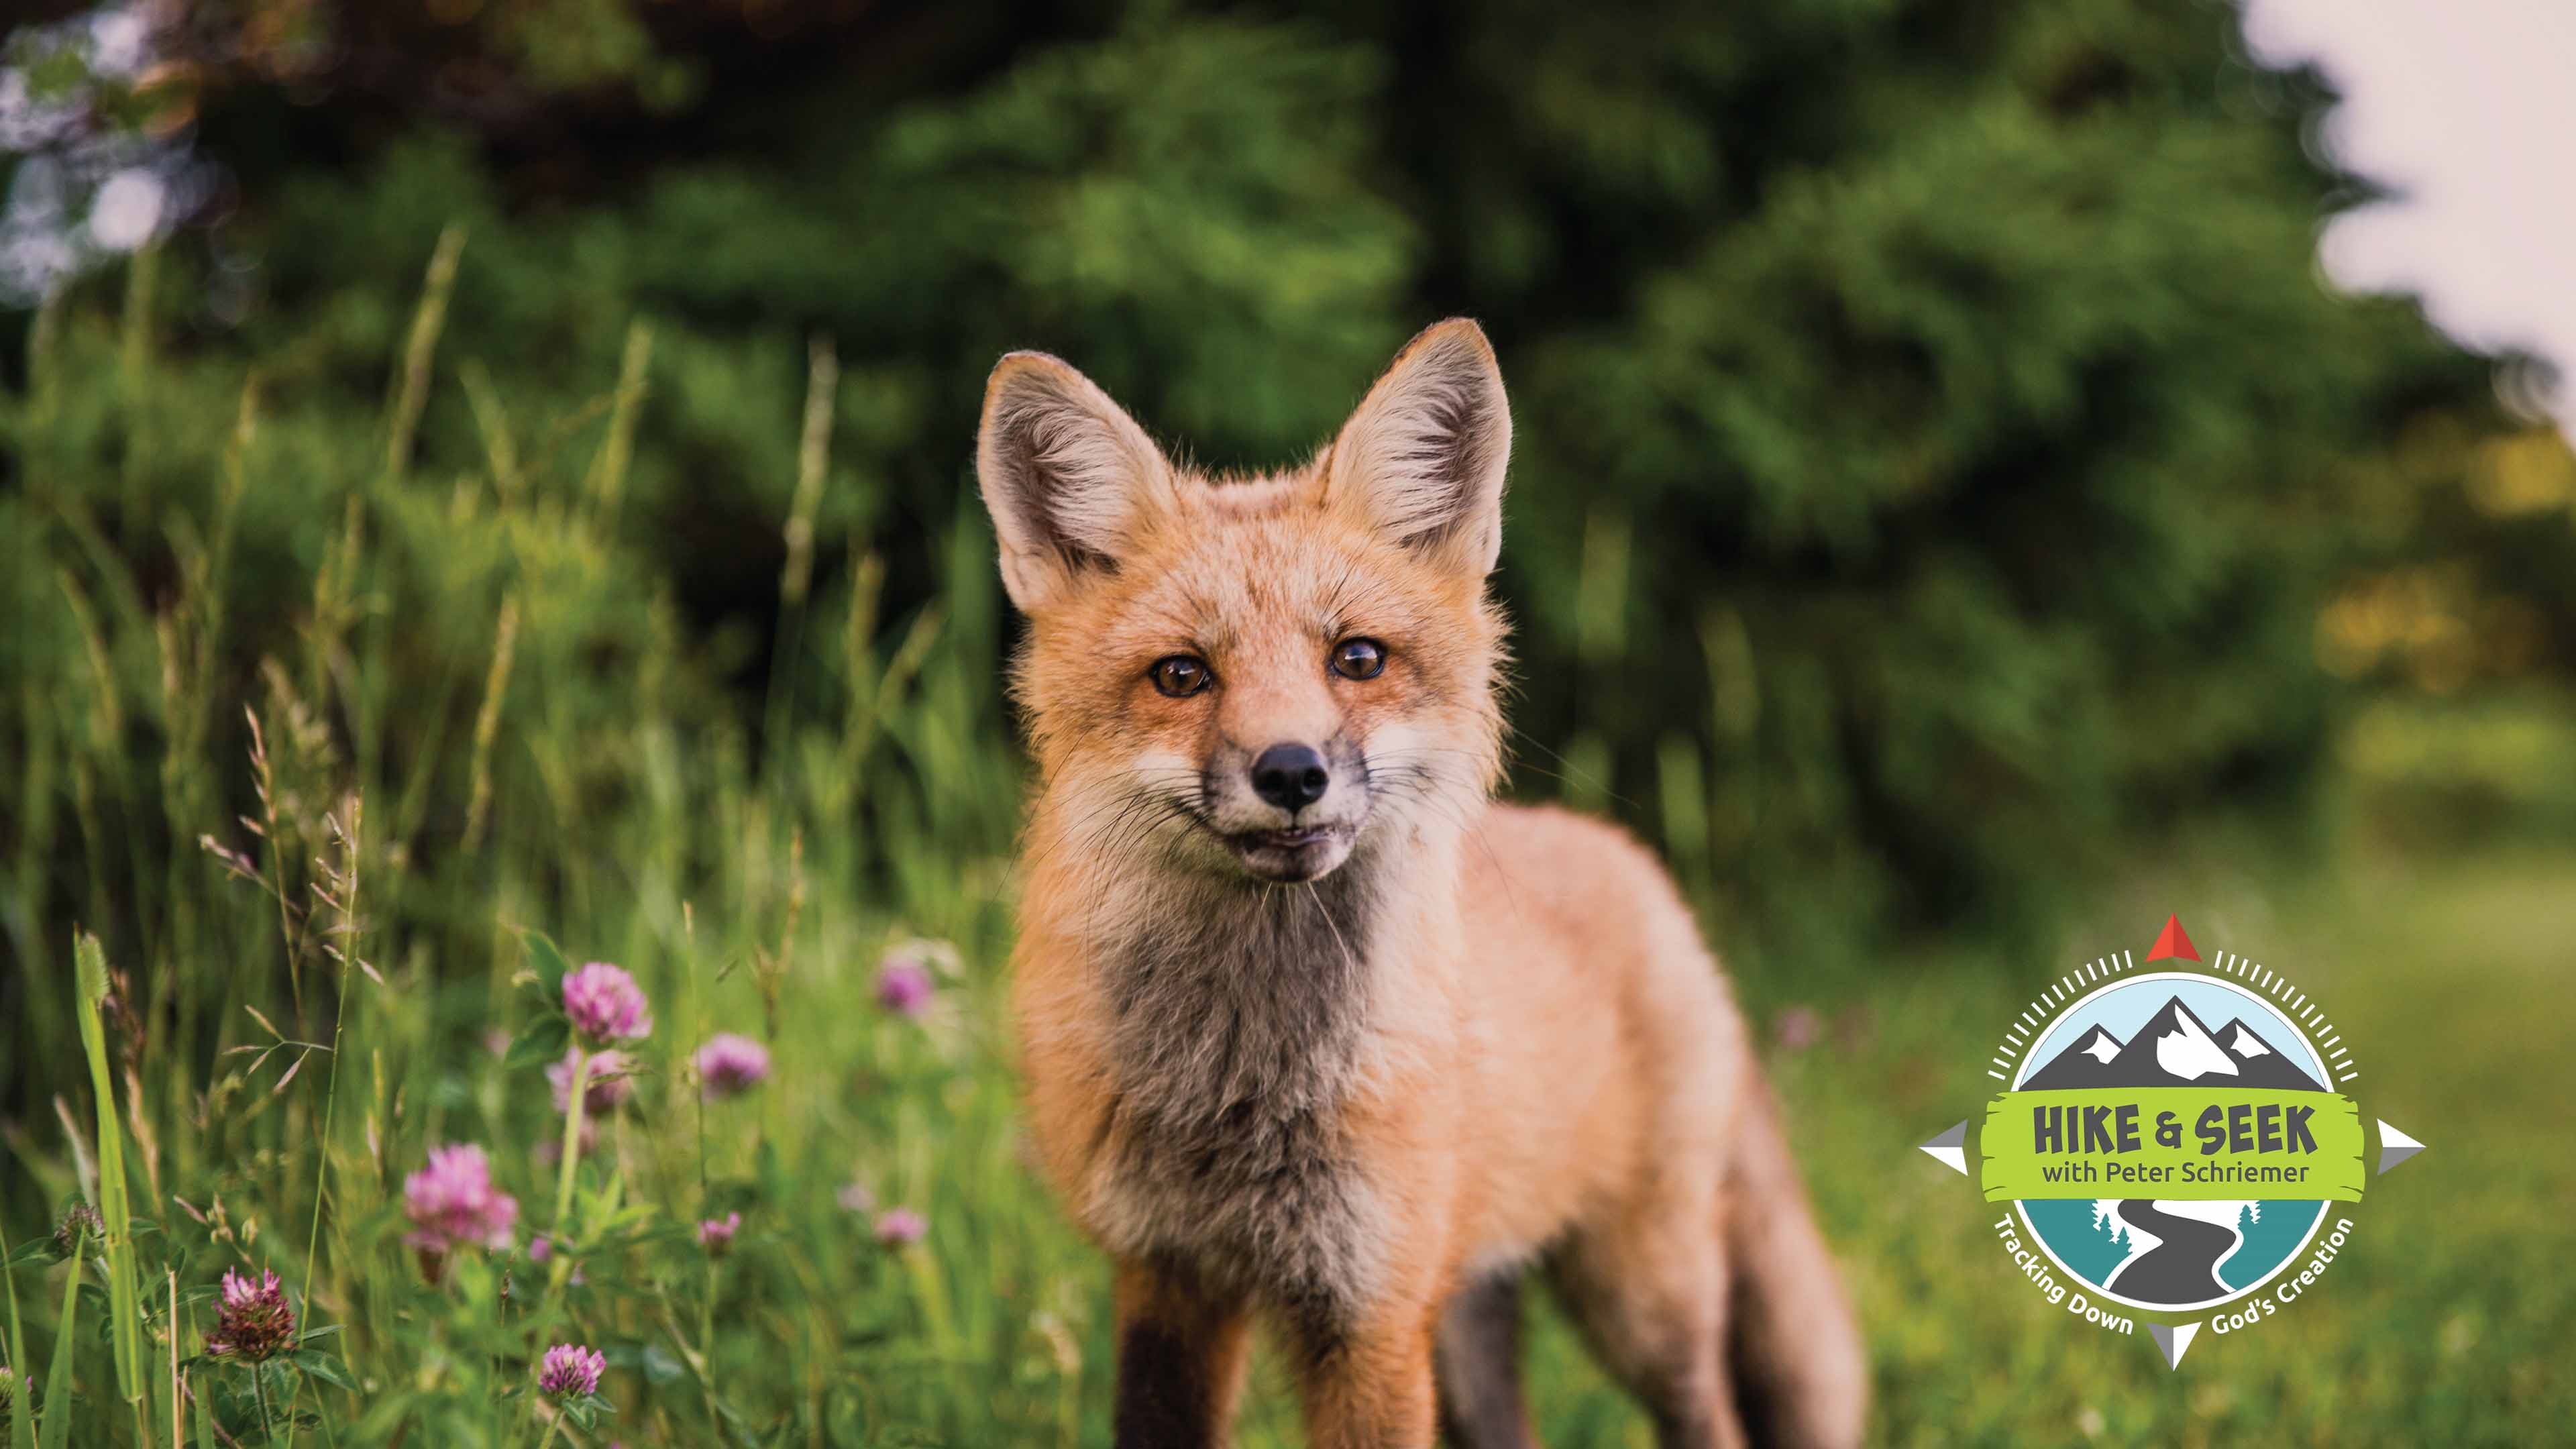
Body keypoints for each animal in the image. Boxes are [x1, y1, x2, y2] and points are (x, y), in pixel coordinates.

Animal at [974, 319, 1866, 1449]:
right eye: (1182, 675)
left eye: (1357, 658)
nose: (1292, 772)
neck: (1245, 1083)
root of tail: (1634, 864)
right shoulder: (1170, 1279)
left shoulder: (1370, 1312)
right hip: (1470, 1318)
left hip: (1640, 1300)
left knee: (1713, 1417)